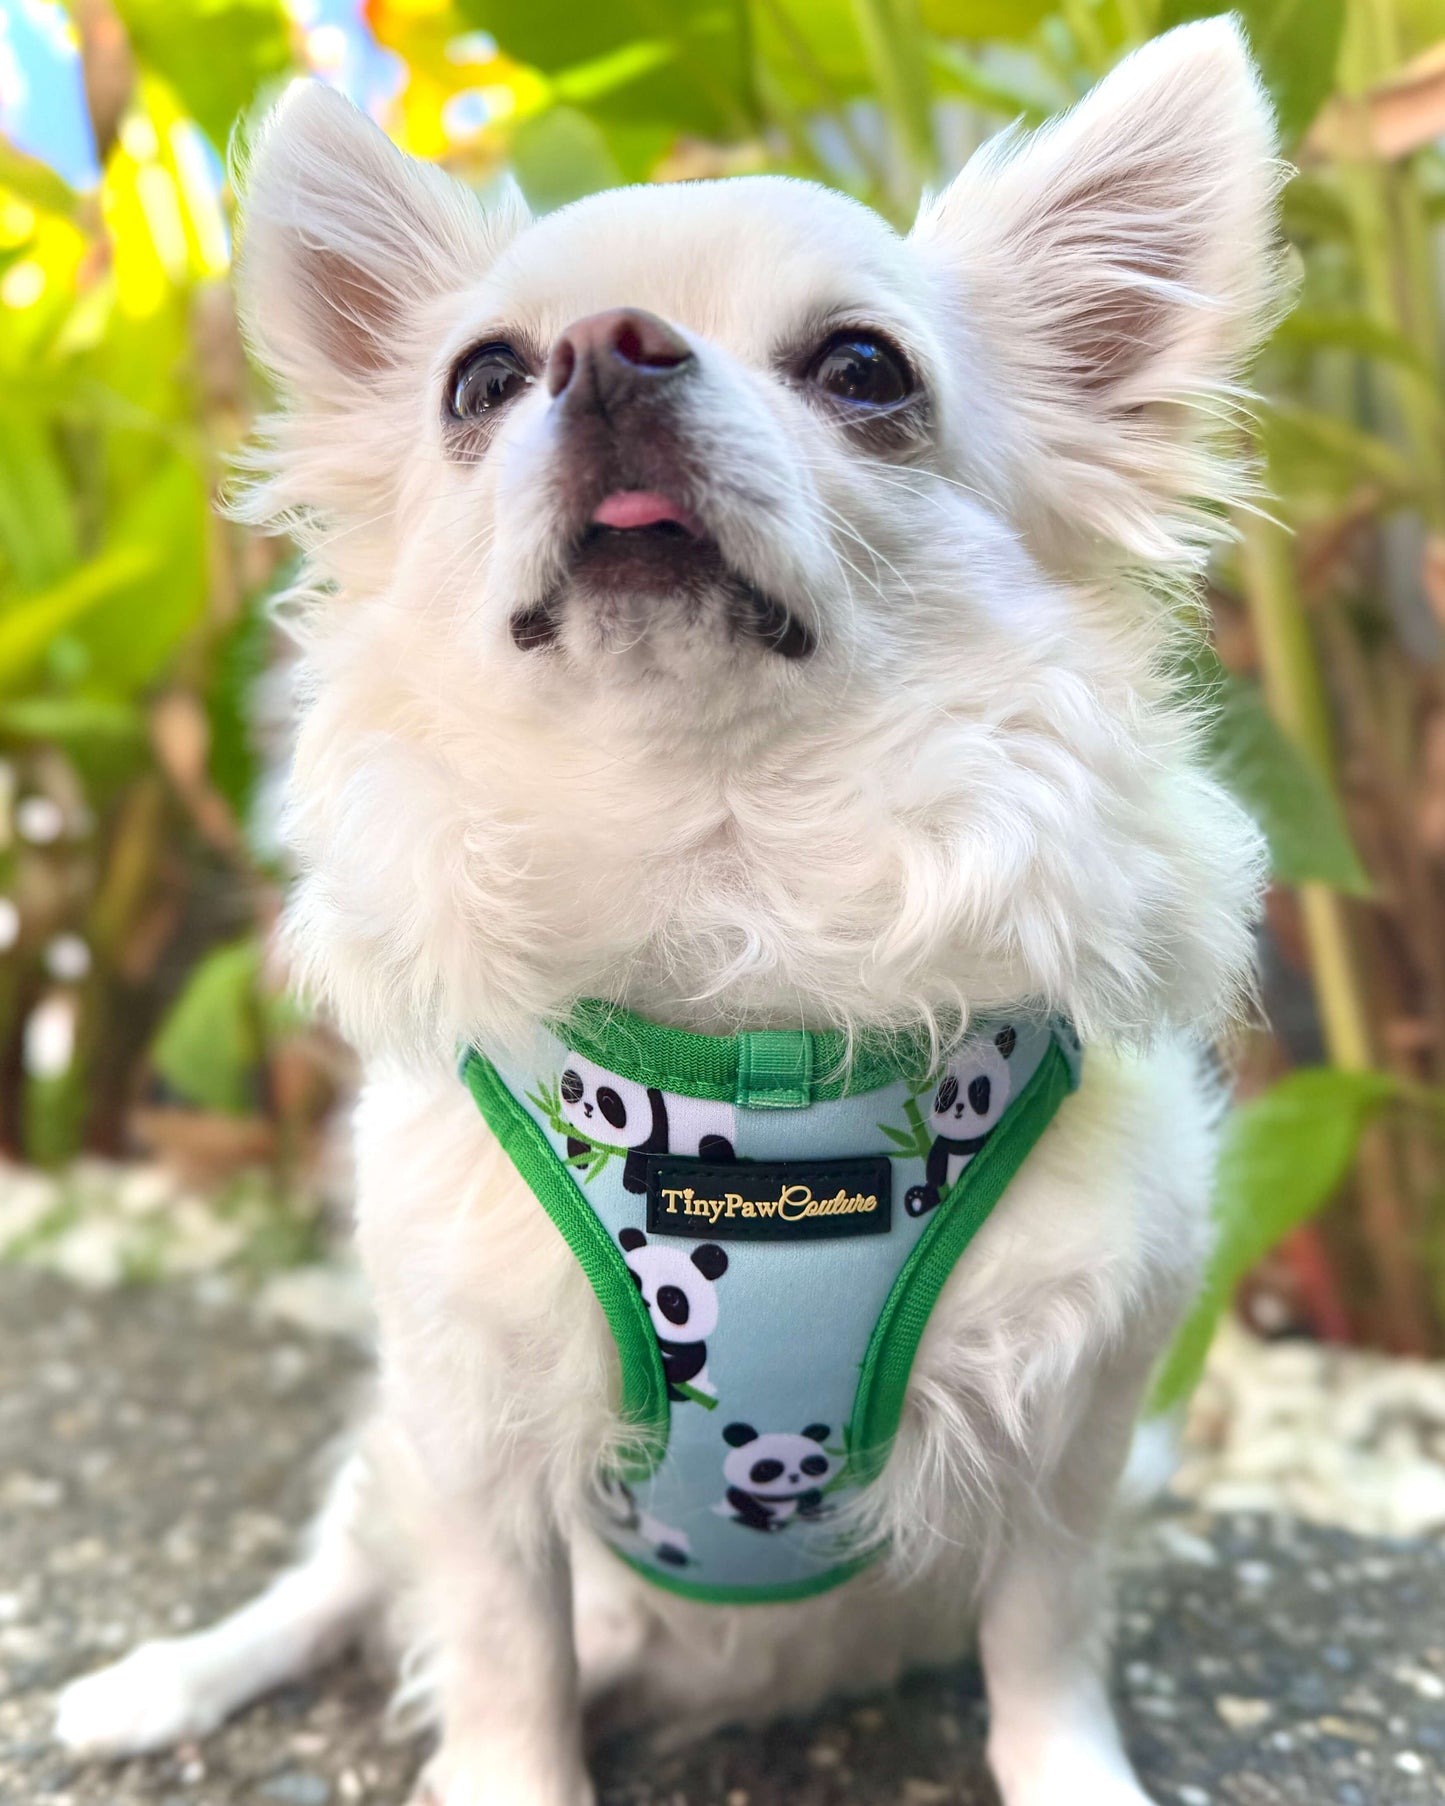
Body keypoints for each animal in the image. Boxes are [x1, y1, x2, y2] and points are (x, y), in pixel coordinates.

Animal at [558, 1052, 736, 1194]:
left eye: (608, 1100)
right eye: (575, 1085)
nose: (588, 1107)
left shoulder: (654, 1121)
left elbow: (643, 1155)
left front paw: (634, 1185)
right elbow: (576, 1134)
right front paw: (579, 1157)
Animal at [904, 1024, 1017, 1219]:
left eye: (979, 1091)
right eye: (947, 1091)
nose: (959, 1106)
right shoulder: (942, 1145)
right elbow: (936, 1166)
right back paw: (920, 1199)